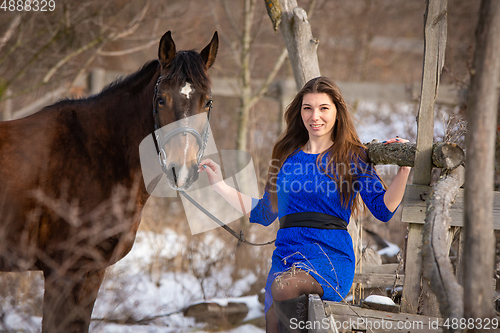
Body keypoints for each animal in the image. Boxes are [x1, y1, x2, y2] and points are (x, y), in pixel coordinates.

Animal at [0, 31, 219, 332]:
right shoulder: (62, 273)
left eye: (207, 102)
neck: (94, 153)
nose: (181, 169)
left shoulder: (92, 272)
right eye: (161, 99)